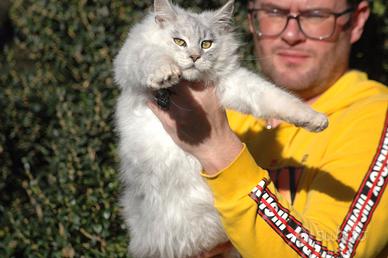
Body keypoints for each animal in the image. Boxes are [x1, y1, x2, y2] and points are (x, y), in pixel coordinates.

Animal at [113, 1, 328, 256]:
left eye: (206, 44)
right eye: (179, 41)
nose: (194, 57)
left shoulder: (235, 84)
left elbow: (279, 99)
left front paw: (316, 121)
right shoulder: (131, 60)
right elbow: (152, 57)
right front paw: (166, 74)